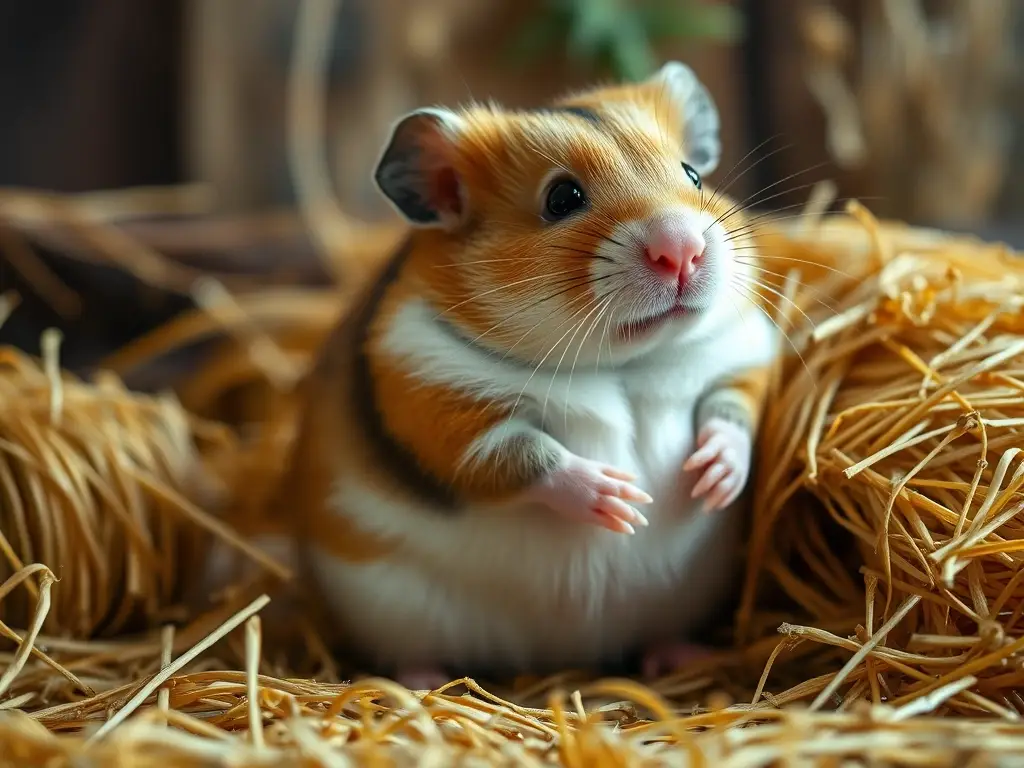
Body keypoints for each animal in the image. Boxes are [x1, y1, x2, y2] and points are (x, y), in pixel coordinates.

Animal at [284, 61, 777, 689]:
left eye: (692, 175)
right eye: (561, 198)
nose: (682, 250)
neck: (621, 365)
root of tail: (550, 655)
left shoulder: (741, 356)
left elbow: (733, 415)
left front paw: (710, 479)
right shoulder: (434, 399)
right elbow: (524, 456)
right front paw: (622, 500)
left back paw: (684, 658)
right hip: (391, 608)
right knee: (412, 654)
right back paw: (422, 683)